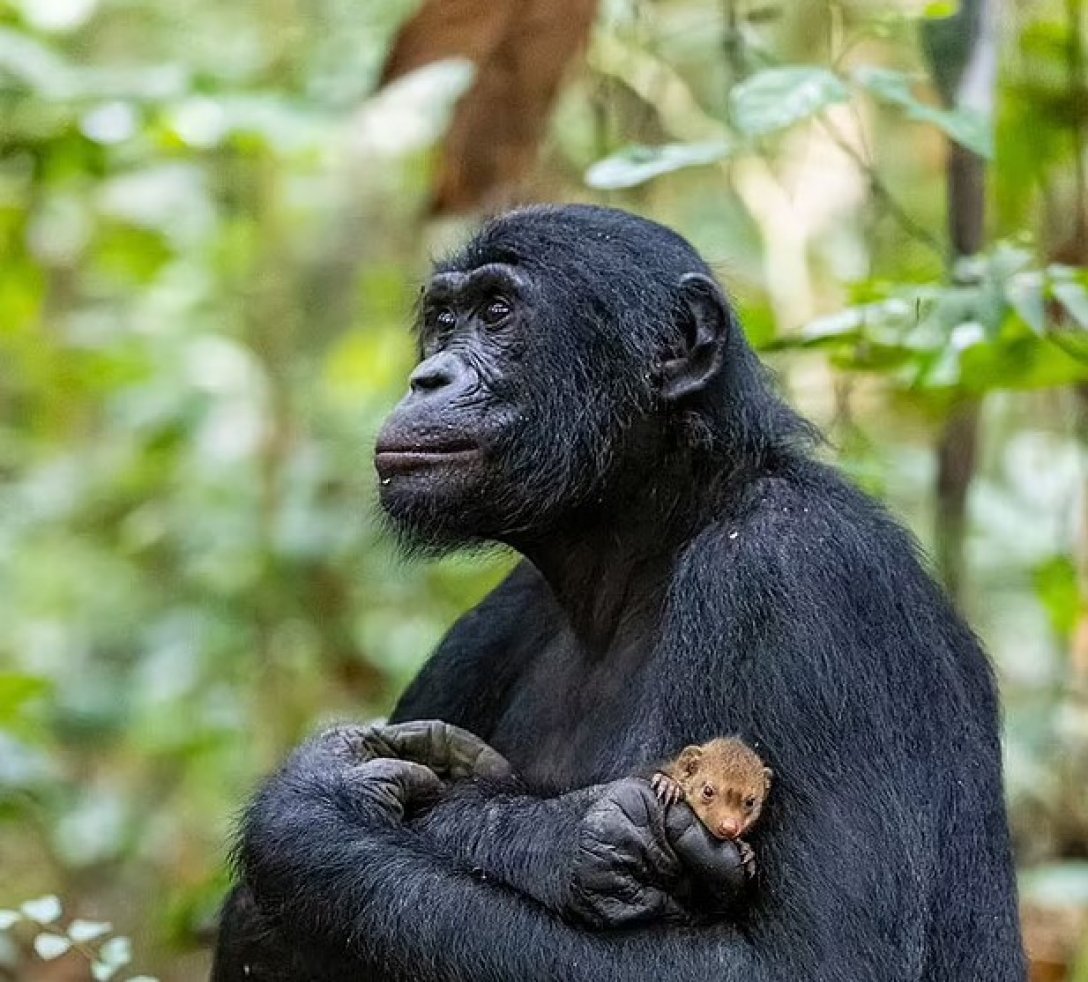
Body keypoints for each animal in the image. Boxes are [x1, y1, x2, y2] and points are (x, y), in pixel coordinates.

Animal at [212, 207, 1027, 982]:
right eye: (444, 320)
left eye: (498, 312)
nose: (429, 377)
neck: (644, 545)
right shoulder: (497, 616)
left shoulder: (804, 578)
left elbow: (809, 962)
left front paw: (322, 809)